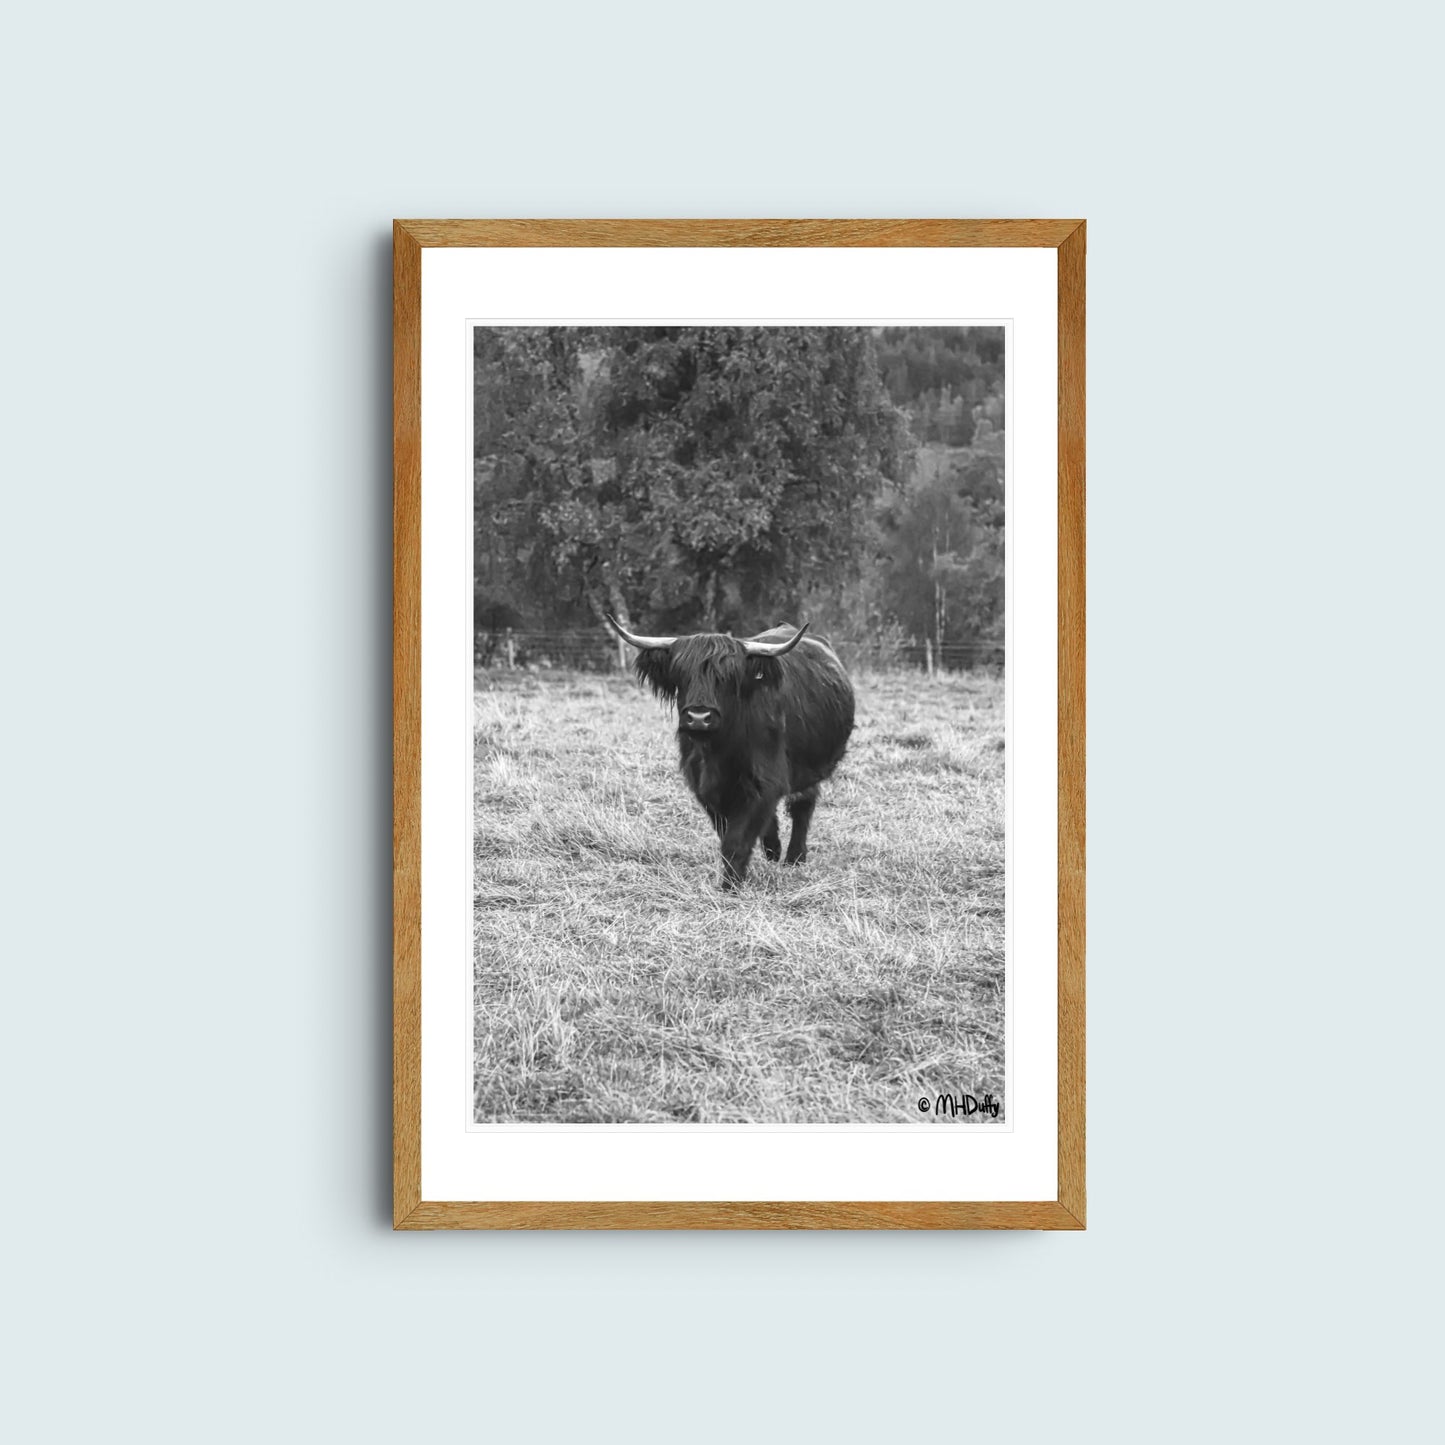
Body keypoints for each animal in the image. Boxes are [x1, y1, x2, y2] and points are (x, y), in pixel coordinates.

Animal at [605, 615, 855, 890]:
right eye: (681, 673)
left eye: (727, 677)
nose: (699, 717)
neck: (718, 751)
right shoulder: (704, 787)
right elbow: (727, 833)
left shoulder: (764, 781)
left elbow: (736, 840)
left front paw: (731, 886)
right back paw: (774, 851)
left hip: (811, 768)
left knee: (802, 807)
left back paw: (794, 858)